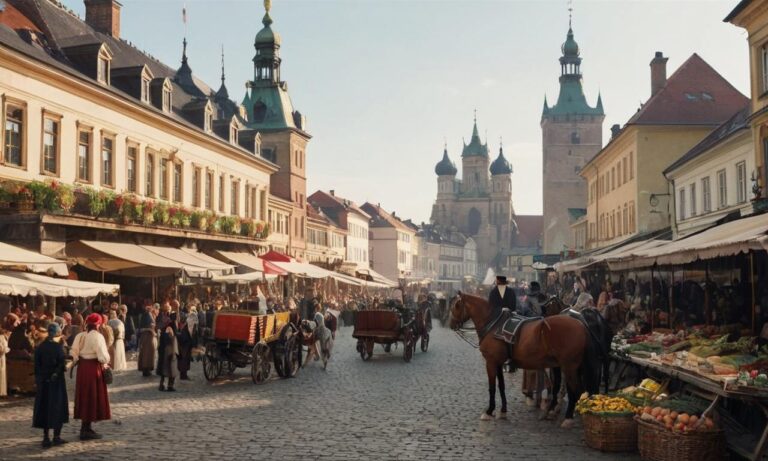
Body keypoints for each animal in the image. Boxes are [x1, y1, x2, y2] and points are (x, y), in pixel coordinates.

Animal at [450, 292, 600, 424]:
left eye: (457, 305)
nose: (451, 325)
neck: (493, 324)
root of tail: (581, 325)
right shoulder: (499, 362)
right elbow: (501, 386)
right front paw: (503, 411)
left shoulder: (491, 362)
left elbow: (492, 387)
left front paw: (489, 411)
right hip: (567, 366)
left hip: (569, 367)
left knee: (576, 390)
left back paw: (568, 418)